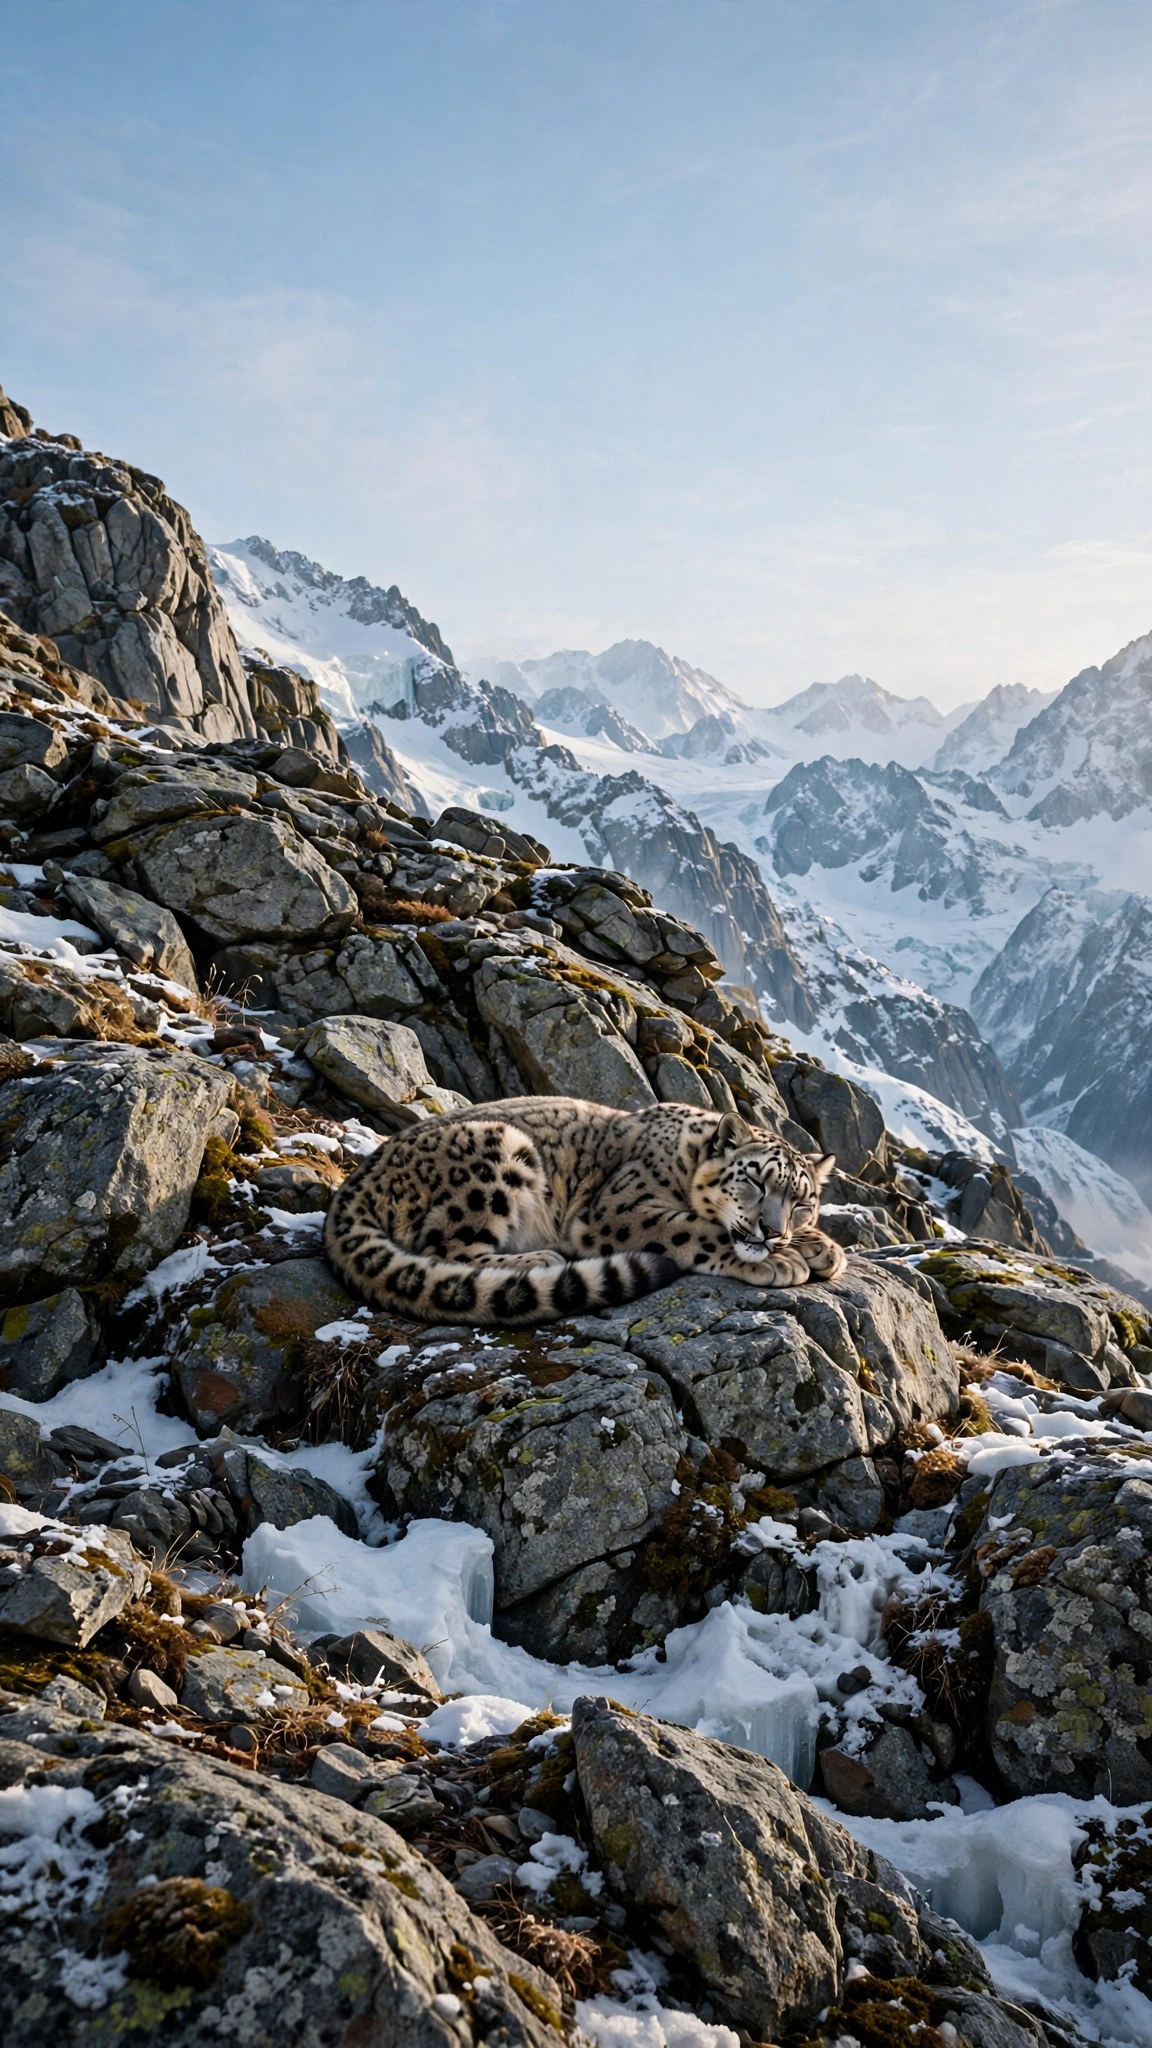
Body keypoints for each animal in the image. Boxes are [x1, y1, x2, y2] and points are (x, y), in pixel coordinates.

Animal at [324, 1094, 845, 1326]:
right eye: (756, 1180)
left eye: (802, 1203)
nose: (772, 1231)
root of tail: (351, 1186)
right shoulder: (618, 1210)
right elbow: (696, 1229)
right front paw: (785, 1261)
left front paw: (824, 1248)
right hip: (495, 1155)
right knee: (446, 1248)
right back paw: (541, 1257)